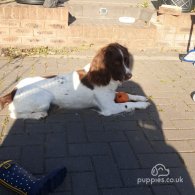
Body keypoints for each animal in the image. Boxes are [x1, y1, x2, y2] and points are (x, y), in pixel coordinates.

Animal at [0, 42, 149, 119]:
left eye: (126, 60)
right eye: (116, 63)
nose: (129, 75)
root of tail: (14, 91)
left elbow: (128, 95)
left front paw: (141, 98)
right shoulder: (109, 107)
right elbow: (127, 104)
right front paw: (142, 105)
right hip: (44, 99)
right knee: (14, 114)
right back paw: (38, 115)